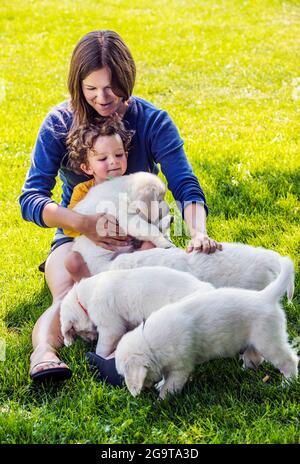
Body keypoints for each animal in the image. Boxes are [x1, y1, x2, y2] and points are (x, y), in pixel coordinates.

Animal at [59, 264, 213, 356]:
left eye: (78, 331)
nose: (90, 341)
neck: (82, 298)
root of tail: (205, 288)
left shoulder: (110, 327)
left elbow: (102, 347)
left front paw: (99, 356)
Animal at [115, 256, 298, 400]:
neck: (149, 342)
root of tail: (265, 296)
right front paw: (160, 385)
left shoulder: (181, 367)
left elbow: (171, 384)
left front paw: (162, 399)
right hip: (254, 341)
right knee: (255, 358)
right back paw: (245, 370)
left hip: (269, 341)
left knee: (289, 361)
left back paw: (287, 383)